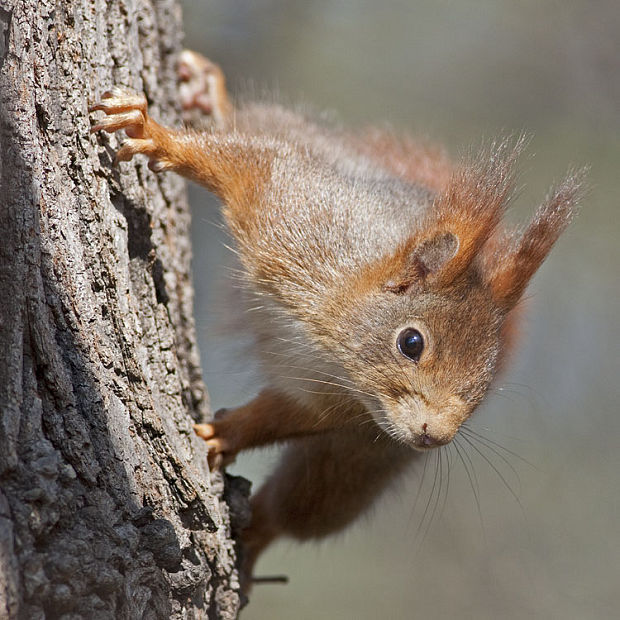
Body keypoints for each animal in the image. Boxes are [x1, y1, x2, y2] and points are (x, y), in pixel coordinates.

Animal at [89, 50, 584, 592]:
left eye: (484, 382)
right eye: (411, 342)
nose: (435, 436)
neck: (335, 347)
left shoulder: (329, 406)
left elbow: (279, 416)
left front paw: (226, 435)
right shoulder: (297, 214)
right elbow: (248, 164)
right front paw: (156, 134)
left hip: (357, 461)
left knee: (295, 509)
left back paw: (255, 536)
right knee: (256, 125)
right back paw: (208, 92)